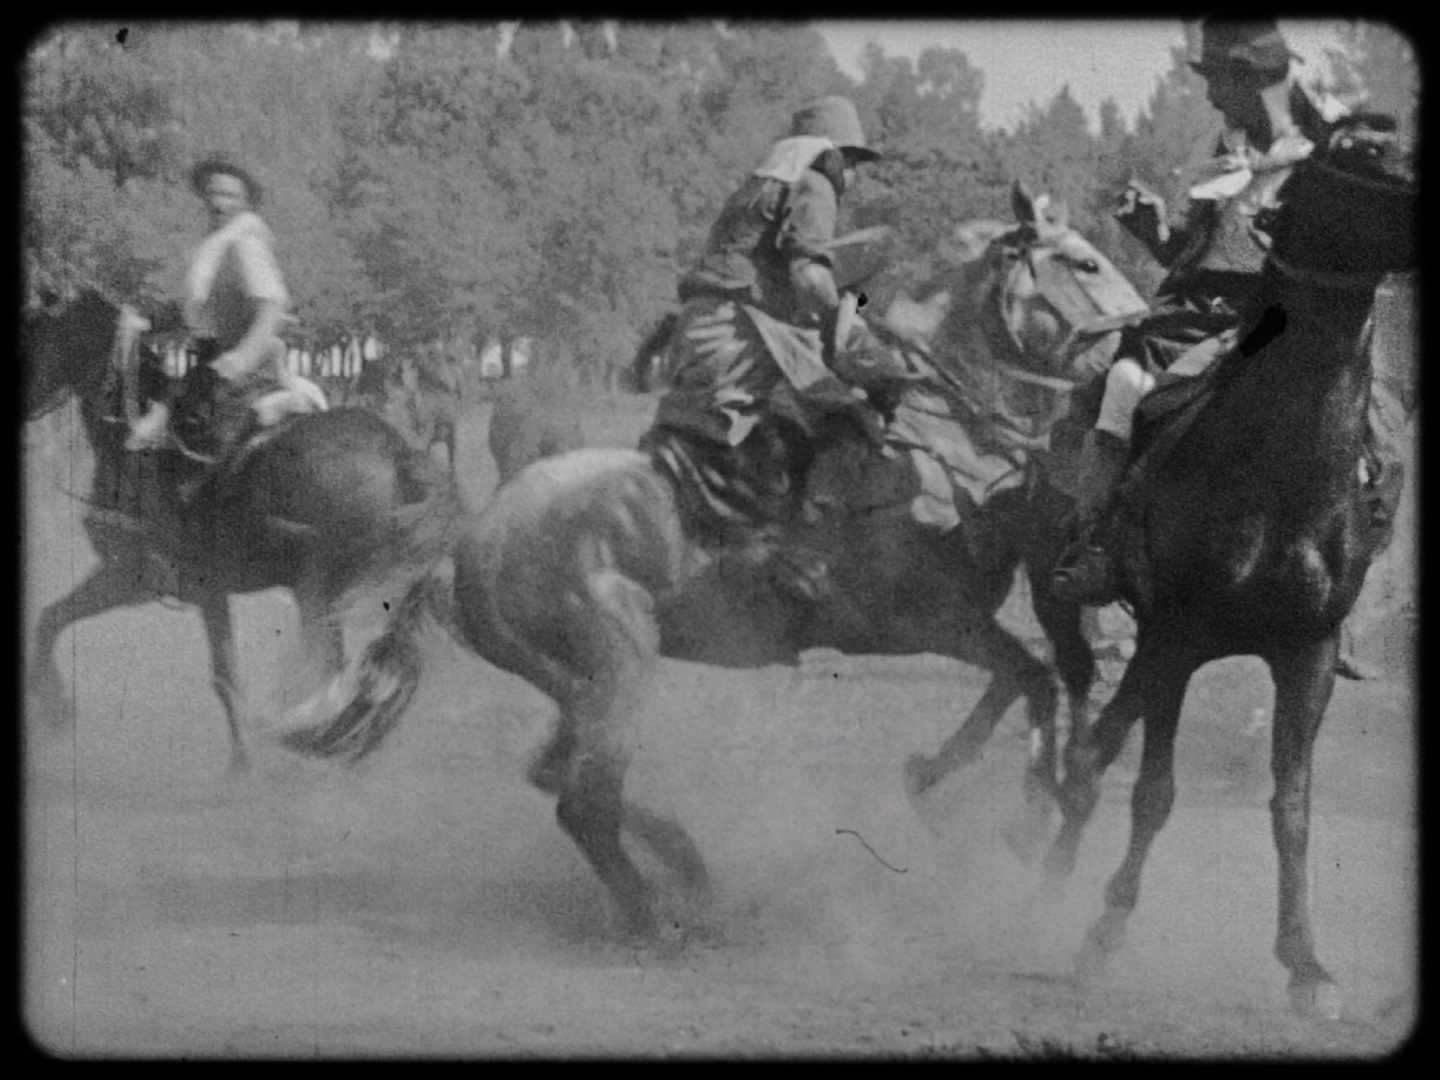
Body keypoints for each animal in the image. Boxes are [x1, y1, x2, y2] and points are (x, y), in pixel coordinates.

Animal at [23, 290, 463, 774]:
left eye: (32, 335)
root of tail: (399, 457)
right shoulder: (137, 580)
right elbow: (51, 618)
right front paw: (55, 710)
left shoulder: (177, 583)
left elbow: (224, 676)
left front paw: (243, 764)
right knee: (375, 667)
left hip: (319, 589)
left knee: (338, 666)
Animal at [282, 182, 1150, 938]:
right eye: (1083, 263)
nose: (1142, 335)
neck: (929, 437)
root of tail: (464, 548)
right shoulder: (923, 623)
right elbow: (1034, 678)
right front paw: (1024, 814)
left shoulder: (964, 624)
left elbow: (1025, 678)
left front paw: (940, 779)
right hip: (621, 665)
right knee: (583, 799)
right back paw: (658, 917)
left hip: (577, 685)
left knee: (558, 776)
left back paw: (684, 868)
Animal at [1035, 123, 1416, 1018]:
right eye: (1363, 153)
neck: (1278, 466)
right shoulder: (1177, 638)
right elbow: (1155, 791)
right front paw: (1104, 934)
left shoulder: (1308, 654)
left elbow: (1292, 808)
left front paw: (1307, 965)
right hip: (1088, 613)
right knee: (1095, 741)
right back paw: (1055, 867)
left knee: (1103, 741)